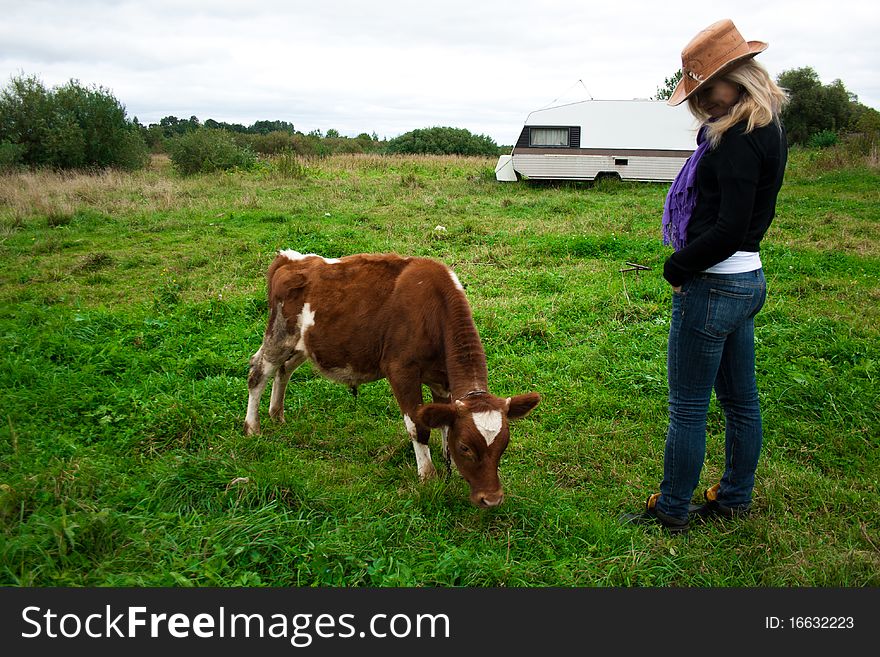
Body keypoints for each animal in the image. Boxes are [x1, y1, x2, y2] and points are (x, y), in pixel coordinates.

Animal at [244, 251, 540, 508]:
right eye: (466, 447)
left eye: (504, 444)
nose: (491, 499)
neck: (432, 310)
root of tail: (289, 258)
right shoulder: (401, 371)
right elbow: (418, 427)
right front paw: (428, 477)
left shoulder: (441, 380)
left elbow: (443, 424)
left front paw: (450, 468)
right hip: (280, 334)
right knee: (258, 371)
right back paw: (252, 427)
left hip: (304, 344)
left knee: (284, 370)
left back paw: (277, 414)